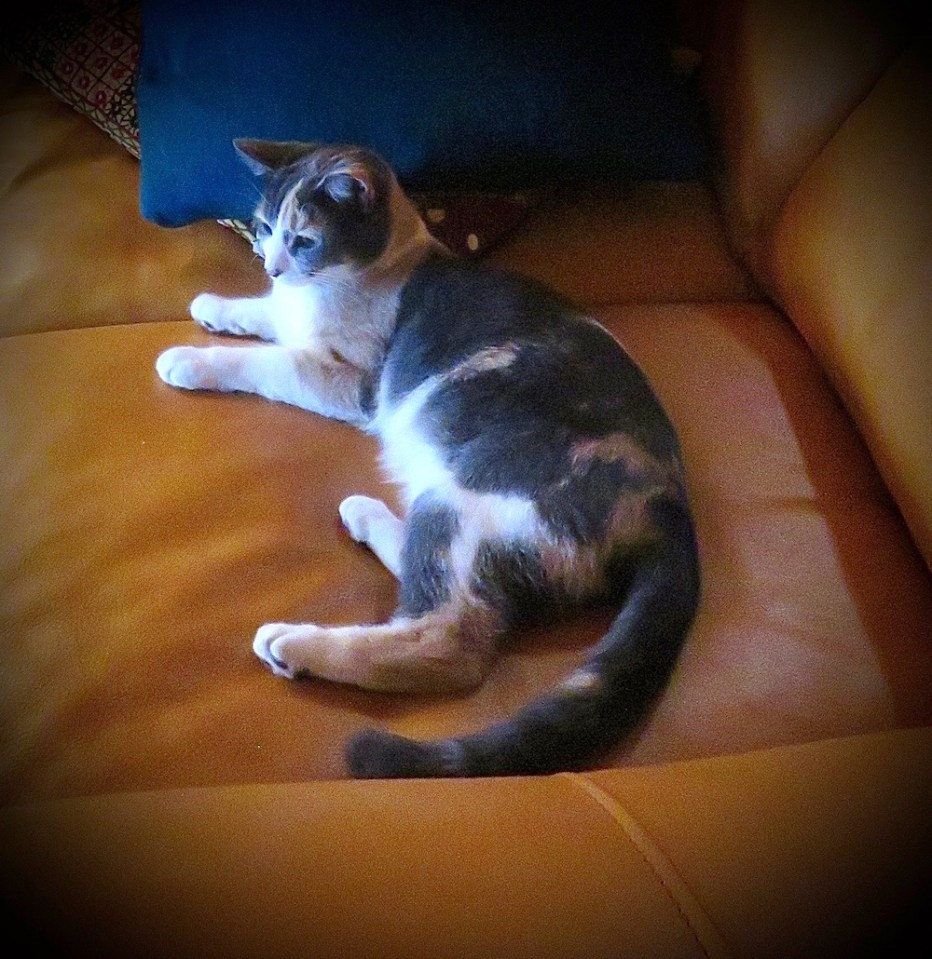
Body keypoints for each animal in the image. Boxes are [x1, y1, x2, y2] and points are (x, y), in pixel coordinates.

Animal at [156, 140, 700, 778]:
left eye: (304, 240)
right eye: (263, 229)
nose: (271, 266)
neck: (392, 263)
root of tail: (669, 506)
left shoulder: (356, 384)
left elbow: (272, 362)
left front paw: (191, 359)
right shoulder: (292, 313)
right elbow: (269, 316)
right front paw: (218, 305)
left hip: (466, 495)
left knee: (448, 642)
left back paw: (295, 643)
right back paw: (366, 515)